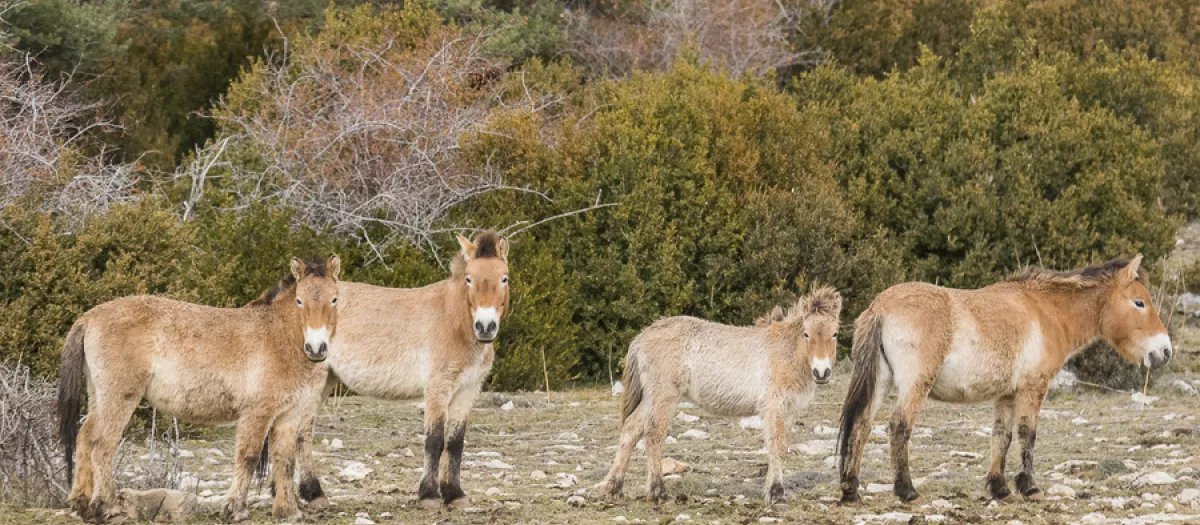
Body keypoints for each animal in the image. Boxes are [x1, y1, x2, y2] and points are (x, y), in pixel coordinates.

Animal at [57, 257, 341, 523]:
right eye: (299, 301)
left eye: (334, 299)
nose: (316, 348)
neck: (278, 336)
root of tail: (90, 317)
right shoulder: (257, 413)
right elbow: (248, 457)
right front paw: (236, 509)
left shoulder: (288, 415)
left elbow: (285, 461)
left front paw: (288, 511)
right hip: (119, 398)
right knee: (103, 443)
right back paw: (108, 506)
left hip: (98, 396)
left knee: (85, 437)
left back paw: (81, 504)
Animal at [254, 232, 510, 509]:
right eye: (469, 279)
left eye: (504, 278)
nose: (485, 327)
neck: (453, 320)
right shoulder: (437, 388)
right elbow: (434, 439)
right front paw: (429, 495)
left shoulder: (467, 390)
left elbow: (455, 442)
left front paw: (455, 494)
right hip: (314, 382)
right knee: (302, 433)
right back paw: (313, 493)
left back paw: (282, 492)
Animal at [599, 286, 843, 505]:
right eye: (806, 333)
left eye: (835, 333)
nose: (821, 373)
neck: (786, 351)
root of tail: (641, 337)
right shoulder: (774, 407)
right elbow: (776, 446)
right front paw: (776, 494)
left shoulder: (789, 410)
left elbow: (782, 448)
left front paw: (772, 491)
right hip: (663, 397)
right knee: (654, 436)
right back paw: (659, 492)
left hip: (651, 398)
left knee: (631, 429)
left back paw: (614, 488)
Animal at [837, 255, 1174, 505]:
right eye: (1139, 303)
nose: (1164, 351)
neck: (1046, 311)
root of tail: (880, 307)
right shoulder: (1033, 387)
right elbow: (1027, 433)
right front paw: (1029, 486)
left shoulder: (1006, 394)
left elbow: (1002, 435)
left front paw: (999, 488)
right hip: (915, 384)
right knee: (899, 426)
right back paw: (906, 490)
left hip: (881, 382)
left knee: (862, 425)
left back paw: (851, 490)